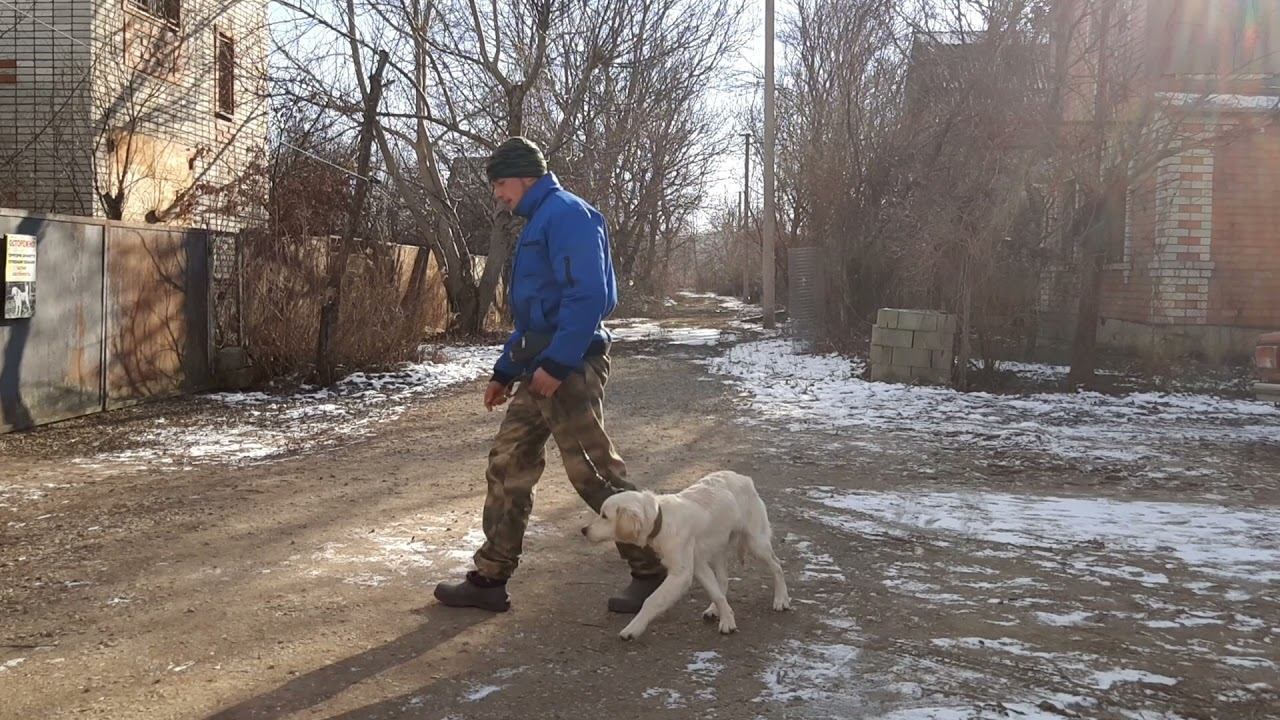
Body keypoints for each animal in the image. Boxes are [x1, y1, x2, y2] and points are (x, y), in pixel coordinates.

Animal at [582, 470, 790, 640]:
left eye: (604, 516)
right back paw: (714, 610)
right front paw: (727, 619)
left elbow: (651, 600)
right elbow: (715, 592)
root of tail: (744, 478)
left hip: (756, 542)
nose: (584, 530)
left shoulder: (681, 574)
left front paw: (633, 628)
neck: (661, 520)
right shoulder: (697, 565)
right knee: (723, 580)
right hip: (717, 548)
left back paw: (781, 599)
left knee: (777, 566)